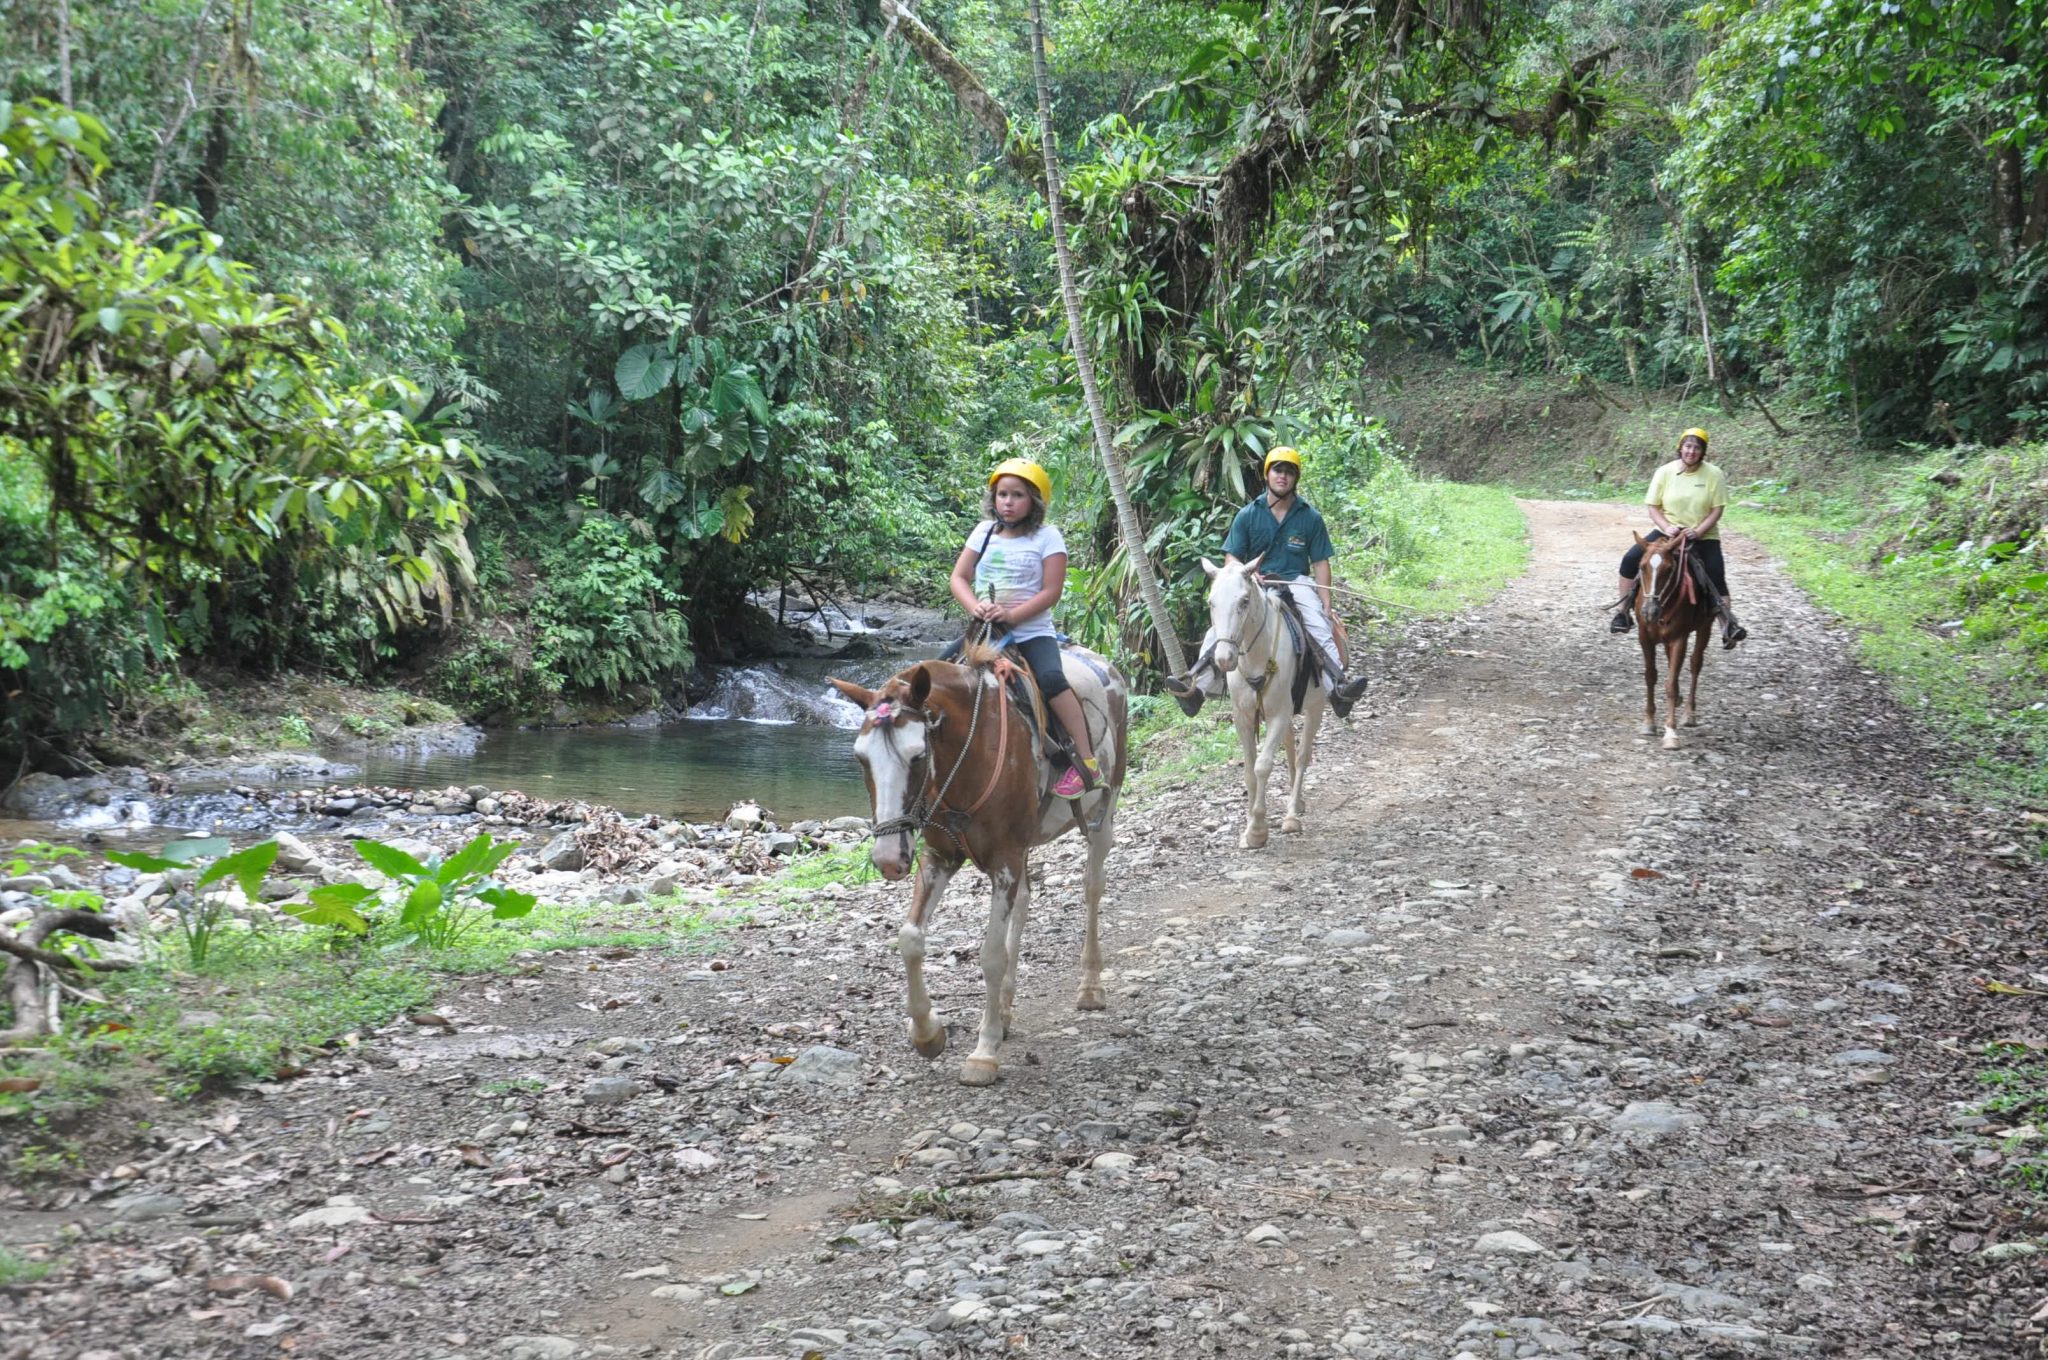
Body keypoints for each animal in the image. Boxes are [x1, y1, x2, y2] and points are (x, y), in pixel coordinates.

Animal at [823, 643, 1130, 1089]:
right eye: (861, 758)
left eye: (918, 757)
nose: (888, 859)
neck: (967, 756)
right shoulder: (940, 857)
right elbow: (910, 937)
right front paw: (928, 1033)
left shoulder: (1004, 859)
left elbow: (990, 956)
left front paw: (984, 1053)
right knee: (1024, 902)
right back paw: (1004, 1009)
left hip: (1104, 807)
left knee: (1092, 886)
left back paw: (1089, 986)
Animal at [1196, 557, 1327, 843]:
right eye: (1211, 602)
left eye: (1244, 601)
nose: (1224, 658)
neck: (1257, 658)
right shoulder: (1243, 716)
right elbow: (1248, 770)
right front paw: (1249, 823)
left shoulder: (1279, 714)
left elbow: (1263, 766)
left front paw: (1257, 829)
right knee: (1290, 745)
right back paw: (1297, 803)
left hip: (1315, 706)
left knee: (1303, 755)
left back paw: (1292, 814)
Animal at [1622, 532, 1720, 749]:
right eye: (1642, 566)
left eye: (1669, 569)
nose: (1649, 611)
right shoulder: (1645, 637)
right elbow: (1650, 677)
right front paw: (1649, 723)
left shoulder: (1679, 639)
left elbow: (1671, 684)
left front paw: (1670, 732)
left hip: (1705, 627)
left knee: (1695, 664)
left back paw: (1689, 713)